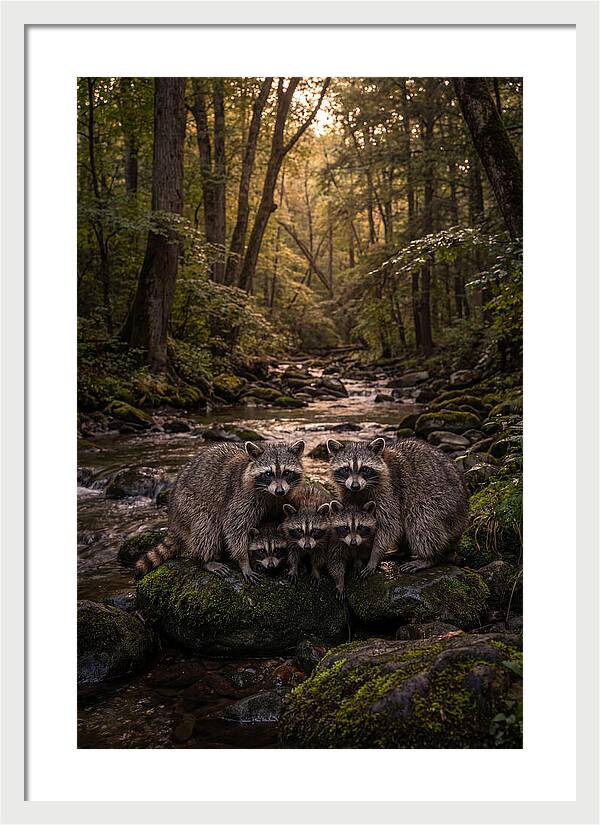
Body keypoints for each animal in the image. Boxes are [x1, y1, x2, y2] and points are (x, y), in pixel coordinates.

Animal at [135, 440, 305, 583]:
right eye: (268, 474)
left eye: (286, 472)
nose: (280, 491)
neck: (270, 494)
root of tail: (173, 518)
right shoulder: (241, 498)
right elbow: (235, 529)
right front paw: (244, 561)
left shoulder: (283, 499)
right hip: (188, 504)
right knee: (206, 527)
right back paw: (206, 560)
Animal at [327, 436, 468, 576]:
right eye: (346, 469)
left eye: (365, 469)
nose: (355, 486)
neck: (361, 490)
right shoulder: (347, 492)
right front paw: (358, 554)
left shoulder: (389, 490)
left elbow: (389, 525)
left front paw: (374, 556)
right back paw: (402, 550)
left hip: (443, 503)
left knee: (421, 521)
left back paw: (429, 557)